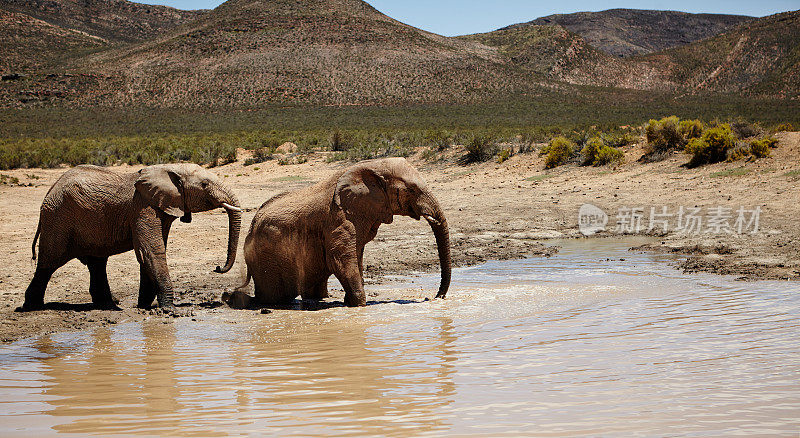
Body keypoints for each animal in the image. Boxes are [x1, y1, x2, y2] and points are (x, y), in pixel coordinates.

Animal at [19, 163, 241, 314]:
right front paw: (169, 309)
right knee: (49, 263)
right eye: (205, 184)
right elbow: (151, 250)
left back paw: (107, 304)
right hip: (57, 218)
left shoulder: (160, 207)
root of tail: (49, 191)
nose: (217, 267)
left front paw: (145, 305)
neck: (169, 168)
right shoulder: (143, 208)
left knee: (97, 263)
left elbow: (151, 251)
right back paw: (31, 306)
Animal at [231, 157, 454, 308]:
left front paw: (350, 301)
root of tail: (250, 227)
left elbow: (357, 256)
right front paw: (359, 304)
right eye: (411, 190)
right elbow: (340, 258)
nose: (436, 296)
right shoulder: (339, 218)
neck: (374, 165)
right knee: (273, 295)